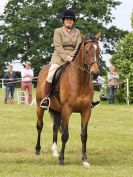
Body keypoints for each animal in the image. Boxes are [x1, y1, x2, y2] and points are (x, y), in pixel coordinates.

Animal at [35, 36, 100, 167]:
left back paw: (55, 151)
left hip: (57, 110)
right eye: (86, 51)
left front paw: (85, 160)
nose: (95, 74)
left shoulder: (86, 111)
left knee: (55, 127)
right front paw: (62, 159)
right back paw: (38, 150)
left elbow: (84, 135)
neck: (80, 81)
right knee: (40, 126)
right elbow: (65, 135)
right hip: (40, 107)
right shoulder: (67, 110)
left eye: (99, 51)